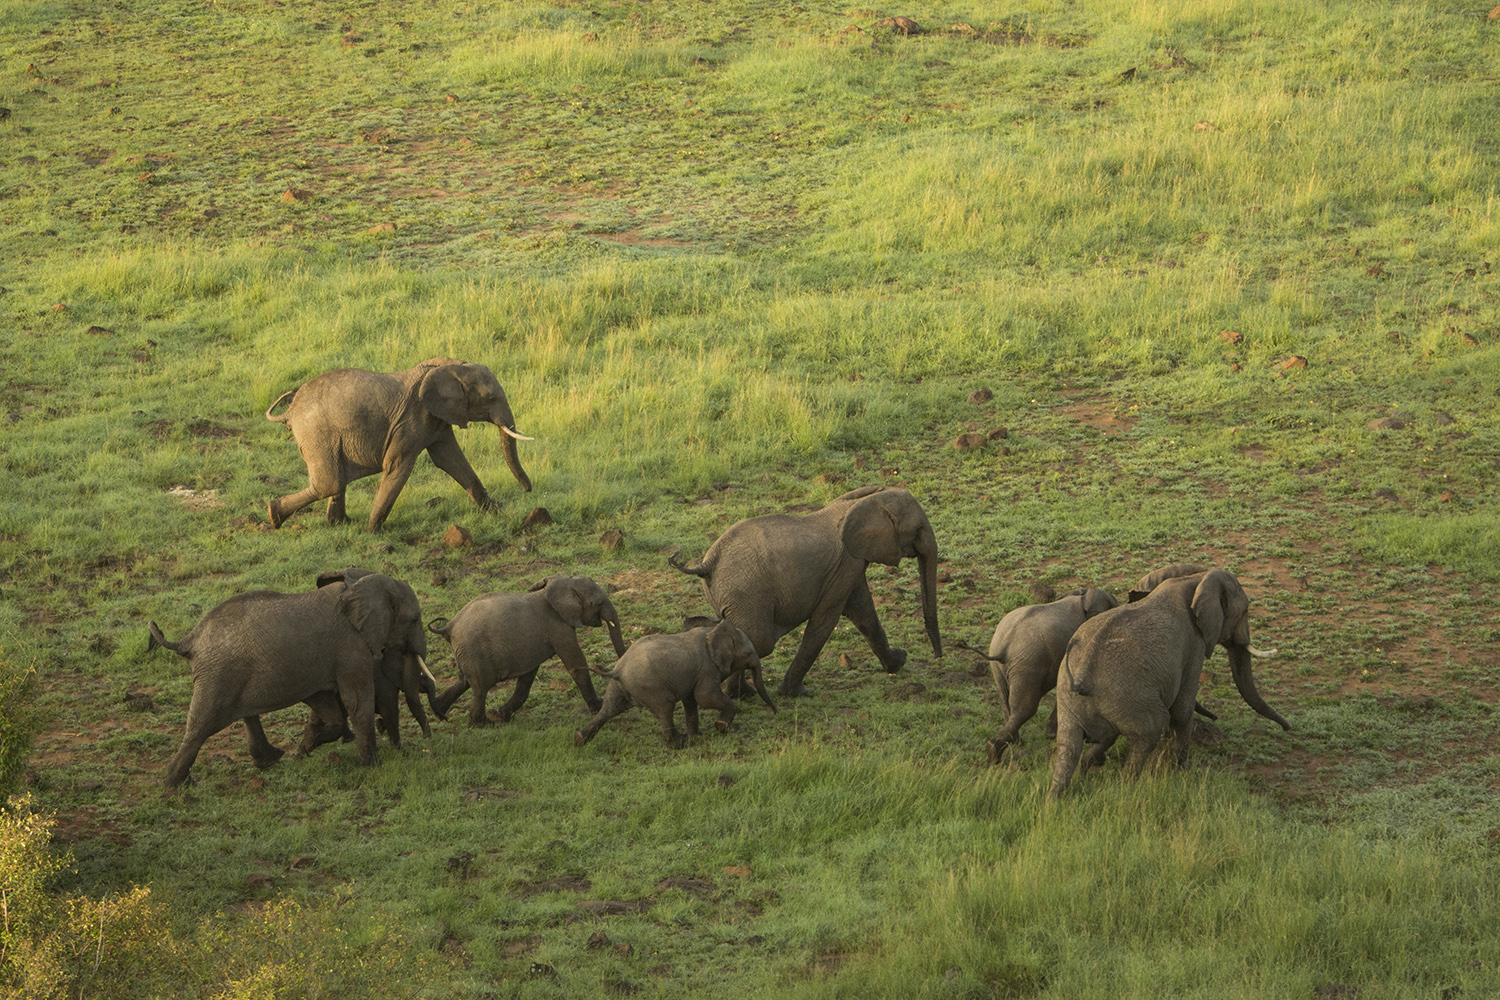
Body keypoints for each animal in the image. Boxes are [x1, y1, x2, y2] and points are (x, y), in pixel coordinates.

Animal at [147, 569, 429, 791]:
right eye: (415, 618)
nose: (425, 744)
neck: (365, 586)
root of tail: (190, 639)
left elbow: (329, 706)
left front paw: (305, 748)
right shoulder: (351, 646)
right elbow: (357, 701)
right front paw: (372, 766)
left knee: (244, 713)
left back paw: (270, 760)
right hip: (218, 674)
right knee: (202, 724)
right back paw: (176, 786)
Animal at [264, 358, 534, 530]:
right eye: (490, 398)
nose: (528, 491)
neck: (454, 366)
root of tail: (290, 411)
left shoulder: (437, 418)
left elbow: (451, 460)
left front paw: (495, 510)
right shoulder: (413, 418)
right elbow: (397, 467)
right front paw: (373, 531)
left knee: (335, 481)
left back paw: (340, 523)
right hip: (316, 434)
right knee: (329, 483)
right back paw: (273, 514)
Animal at [429, 578, 627, 728]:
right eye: (599, 603)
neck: (562, 583)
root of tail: (449, 627)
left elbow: (527, 676)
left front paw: (501, 714)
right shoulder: (558, 626)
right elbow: (576, 664)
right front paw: (599, 705)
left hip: (466, 652)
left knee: (463, 681)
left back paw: (440, 713)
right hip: (474, 651)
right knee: (480, 687)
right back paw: (482, 725)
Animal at [573, 620, 780, 746]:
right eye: (748, 654)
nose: (777, 712)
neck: (714, 631)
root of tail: (617, 670)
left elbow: (692, 701)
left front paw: (698, 736)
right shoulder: (707, 668)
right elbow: (705, 698)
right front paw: (721, 727)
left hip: (619, 687)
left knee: (609, 709)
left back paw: (580, 739)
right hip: (650, 687)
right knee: (665, 708)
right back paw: (678, 743)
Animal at [669, 485, 936, 695]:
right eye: (919, 529)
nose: (938, 656)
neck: (867, 500)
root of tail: (707, 563)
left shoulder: (851, 564)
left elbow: (864, 613)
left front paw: (898, 662)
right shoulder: (845, 564)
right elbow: (825, 622)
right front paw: (795, 693)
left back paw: (739, 692)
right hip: (746, 595)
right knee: (760, 640)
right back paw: (737, 695)